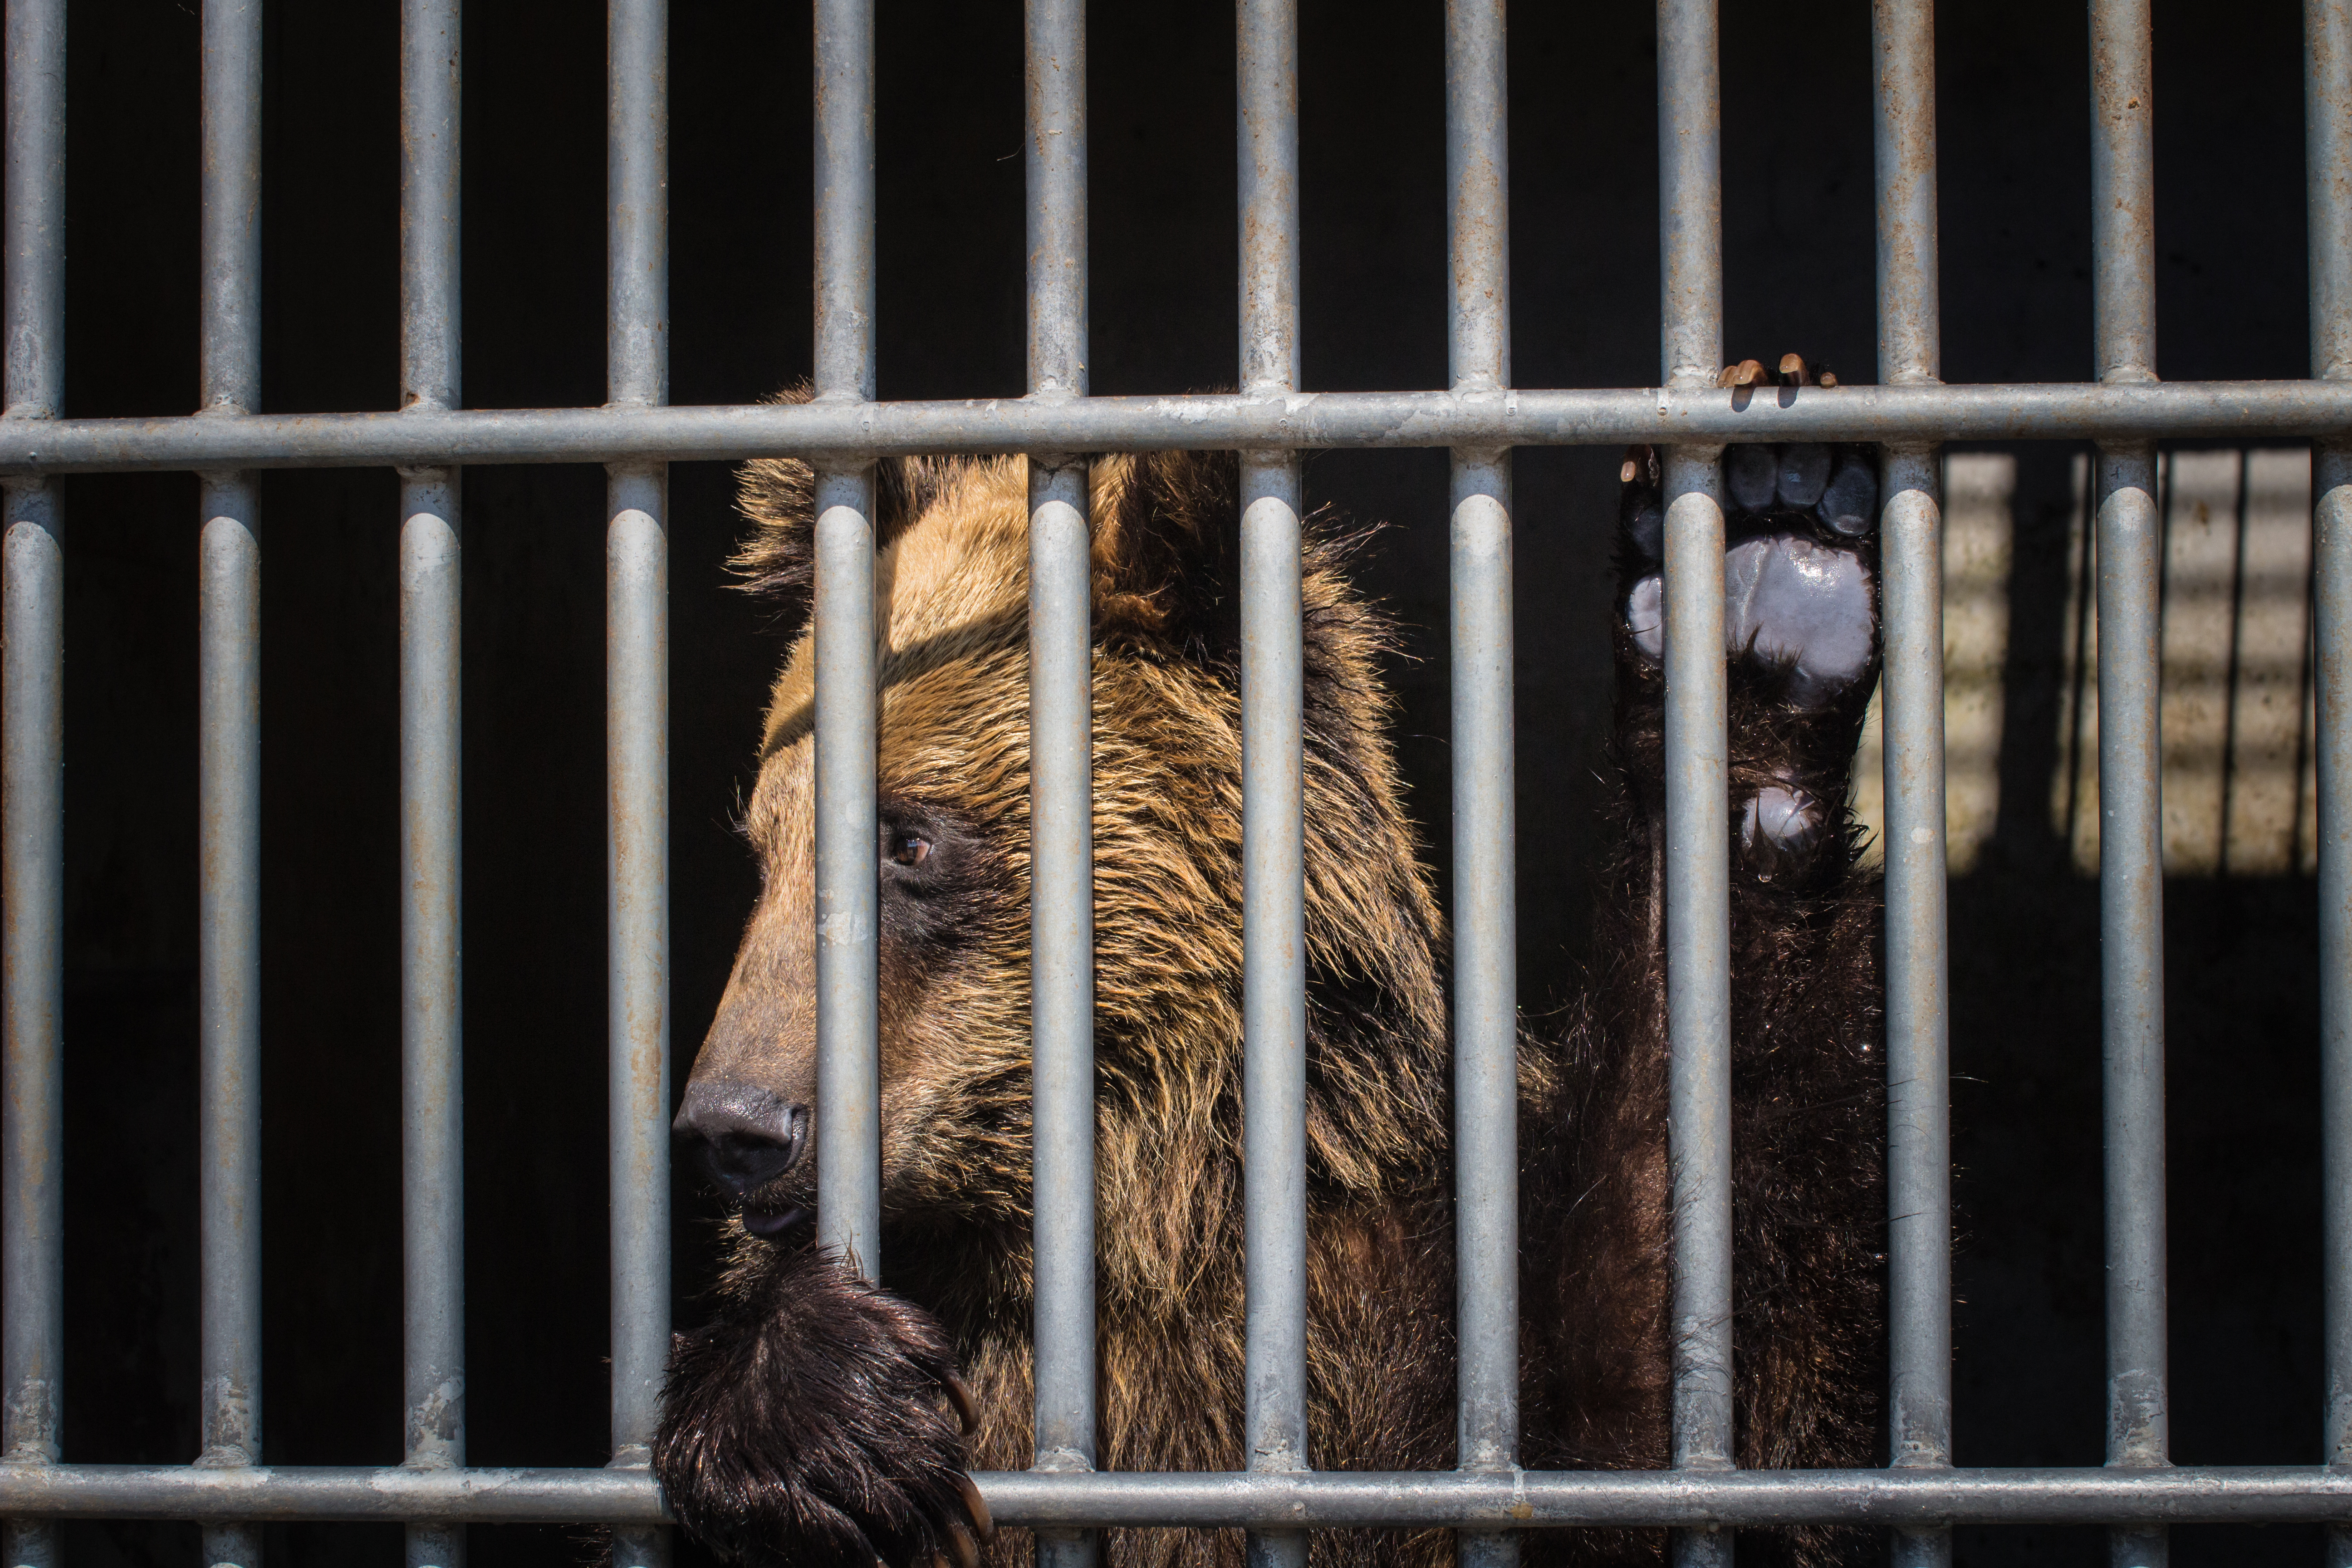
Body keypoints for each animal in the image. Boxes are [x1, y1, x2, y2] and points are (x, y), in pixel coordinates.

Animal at [654, 373, 1888, 1568]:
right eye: (762, 850)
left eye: (906, 839)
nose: (734, 1124)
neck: (1149, 1200)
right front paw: (816, 1411)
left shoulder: (1416, 1308)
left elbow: (1667, 1397)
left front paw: (1764, 588)